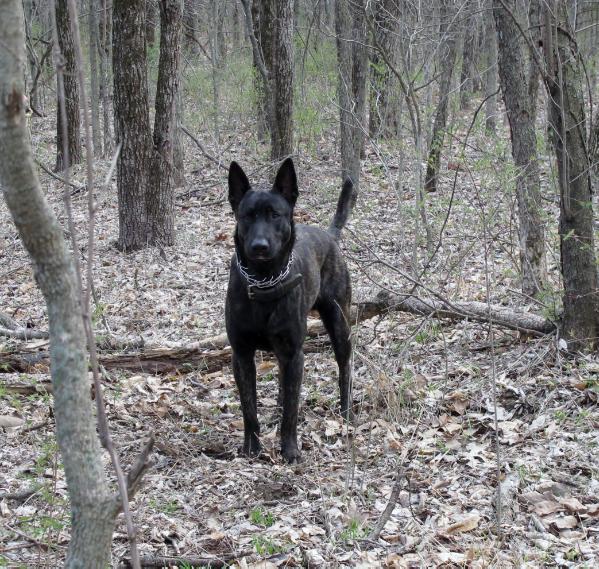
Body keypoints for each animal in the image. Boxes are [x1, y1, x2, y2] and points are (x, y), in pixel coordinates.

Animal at [225, 156, 356, 462]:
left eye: (275, 215)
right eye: (247, 216)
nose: (259, 246)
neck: (264, 281)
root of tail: (329, 234)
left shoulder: (295, 354)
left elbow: (292, 411)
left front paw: (290, 450)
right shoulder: (242, 355)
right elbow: (249, 409)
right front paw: (252, 447)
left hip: (339, 324)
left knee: (344, 368)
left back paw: (345, 412)